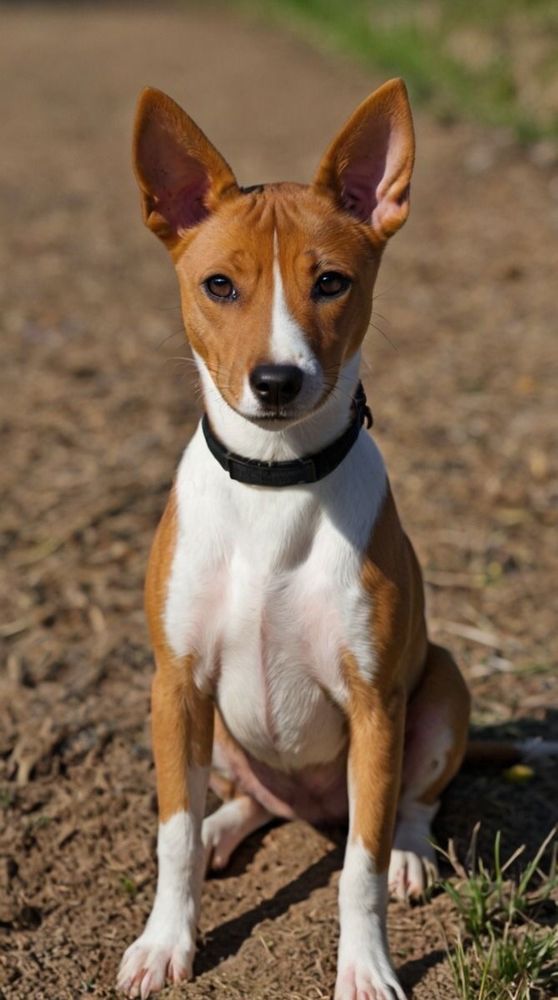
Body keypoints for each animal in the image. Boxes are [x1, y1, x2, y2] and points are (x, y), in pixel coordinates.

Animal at [117, 79, 471, 1000]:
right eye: (218, 285)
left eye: (332, 282)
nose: (277, 381)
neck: (275, 484)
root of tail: (313, 805)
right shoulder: (176, 683)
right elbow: (171, 834)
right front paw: (165, 941)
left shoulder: (377, 705)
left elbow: (361, 868)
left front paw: (368, 967)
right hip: (215, 728)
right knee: (241, 799)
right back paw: (221, 830)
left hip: (441, 686)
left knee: (407, 807)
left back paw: (414, 856)